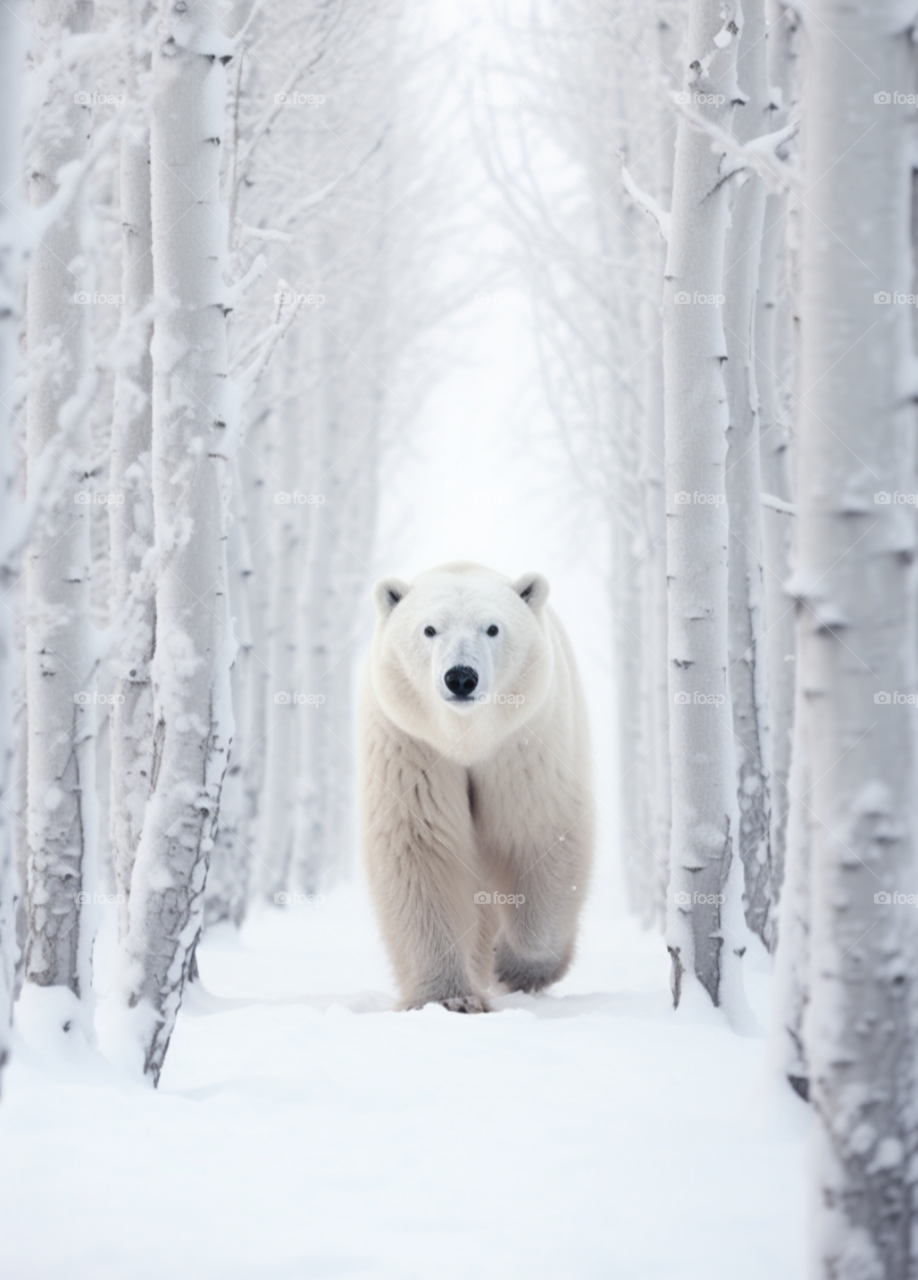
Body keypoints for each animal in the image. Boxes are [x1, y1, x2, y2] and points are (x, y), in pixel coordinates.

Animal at [358, 561, 594, 1012]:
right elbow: (421, 848)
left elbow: (538, 832)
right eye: (430, 629)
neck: (466, 738)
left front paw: (517, 966)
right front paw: (451, 999)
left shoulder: (522, 744)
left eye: (493, 628)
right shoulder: (412, 746)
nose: (461, 677)